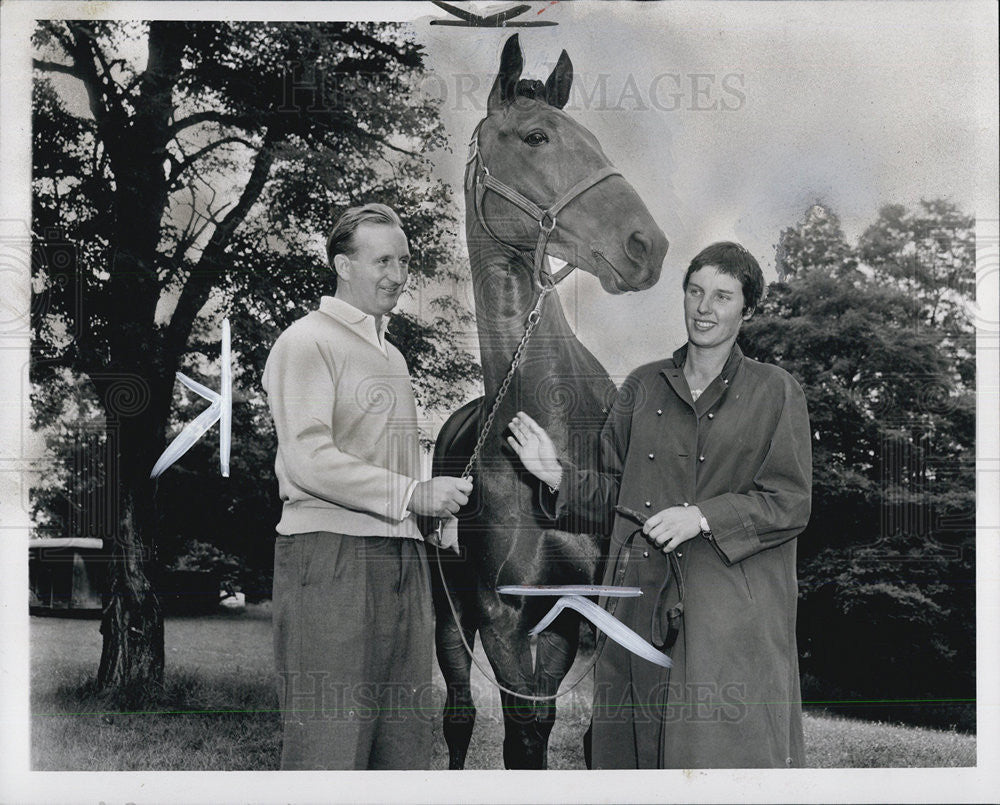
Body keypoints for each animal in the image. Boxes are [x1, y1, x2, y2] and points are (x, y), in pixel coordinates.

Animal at [432, 34, 672, 768]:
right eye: (536, 136)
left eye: (593, 137)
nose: (646, 244)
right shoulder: (506, 620)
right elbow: (523, 735)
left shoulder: (584, 615)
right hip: (447, 615)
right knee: (459, 716)